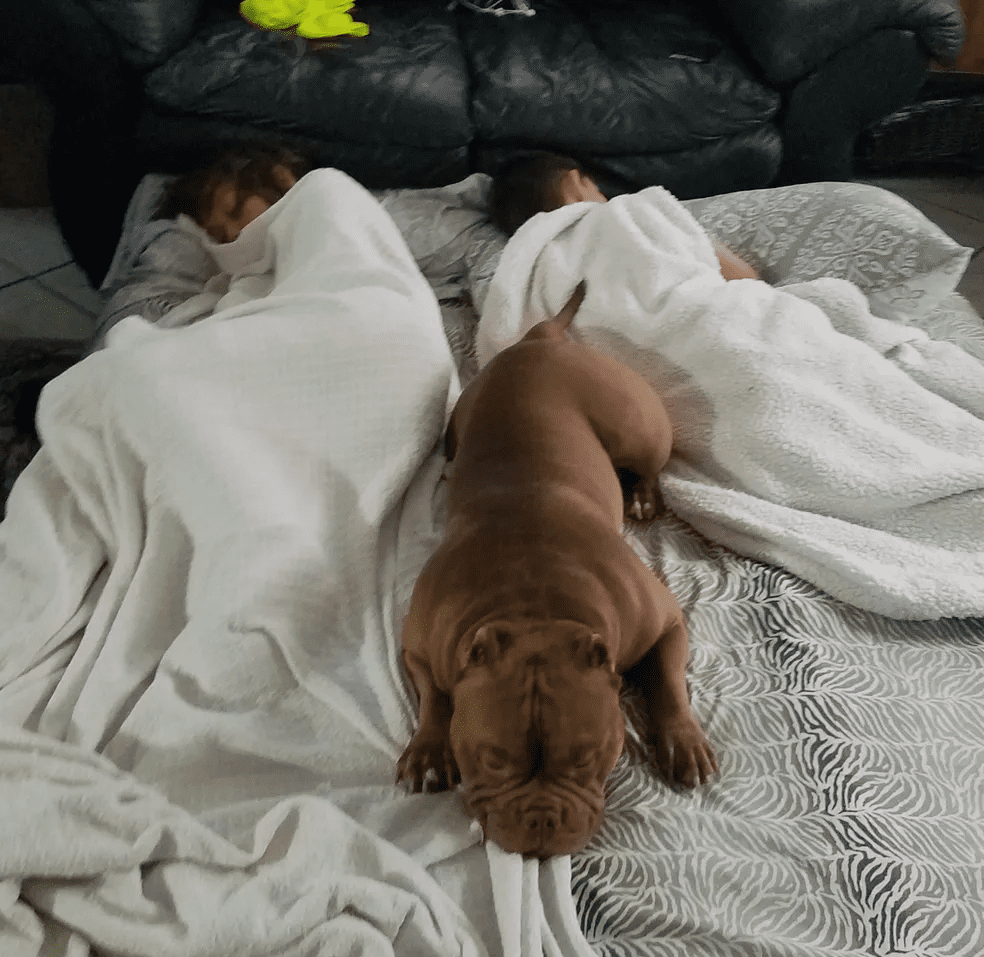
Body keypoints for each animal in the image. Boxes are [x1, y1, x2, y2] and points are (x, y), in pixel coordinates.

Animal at [398, 280, 716, 856]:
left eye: (588, 756)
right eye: (492, 759)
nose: (540, 824)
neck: (535, 606)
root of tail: (542, 338)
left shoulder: (665, 622)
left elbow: (667, 681)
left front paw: (683, 739)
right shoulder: (419, 642)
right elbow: (433, 695)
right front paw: (430, 749)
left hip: (639, 427)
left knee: (650, 463)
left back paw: (641, 495)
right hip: (458, 425)